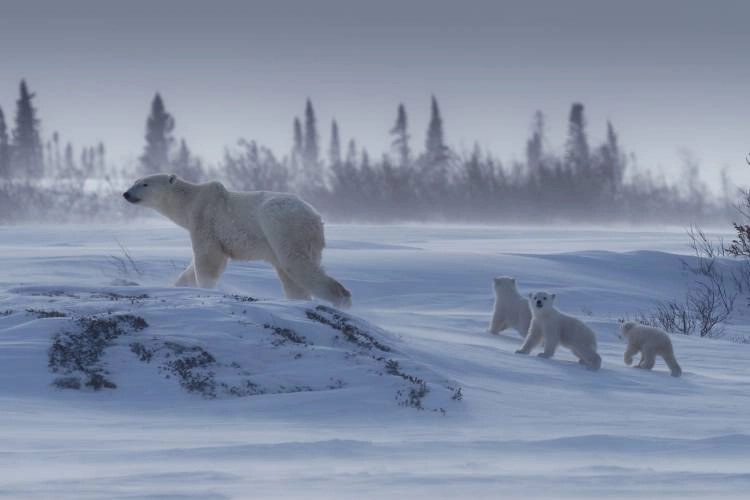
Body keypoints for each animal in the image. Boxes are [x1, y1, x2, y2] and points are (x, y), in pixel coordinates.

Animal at [125, 176, 354, 308]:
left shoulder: (205, 219)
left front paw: (205, 289)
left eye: (144, 184)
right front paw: (178, 285)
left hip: (282, 228)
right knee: (290, 274)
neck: (190, 200)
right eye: (135, 181)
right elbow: (191, 268)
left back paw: (341, 299)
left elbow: (207, 259)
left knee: (297, 264)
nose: (126, 193)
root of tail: (315, 218)